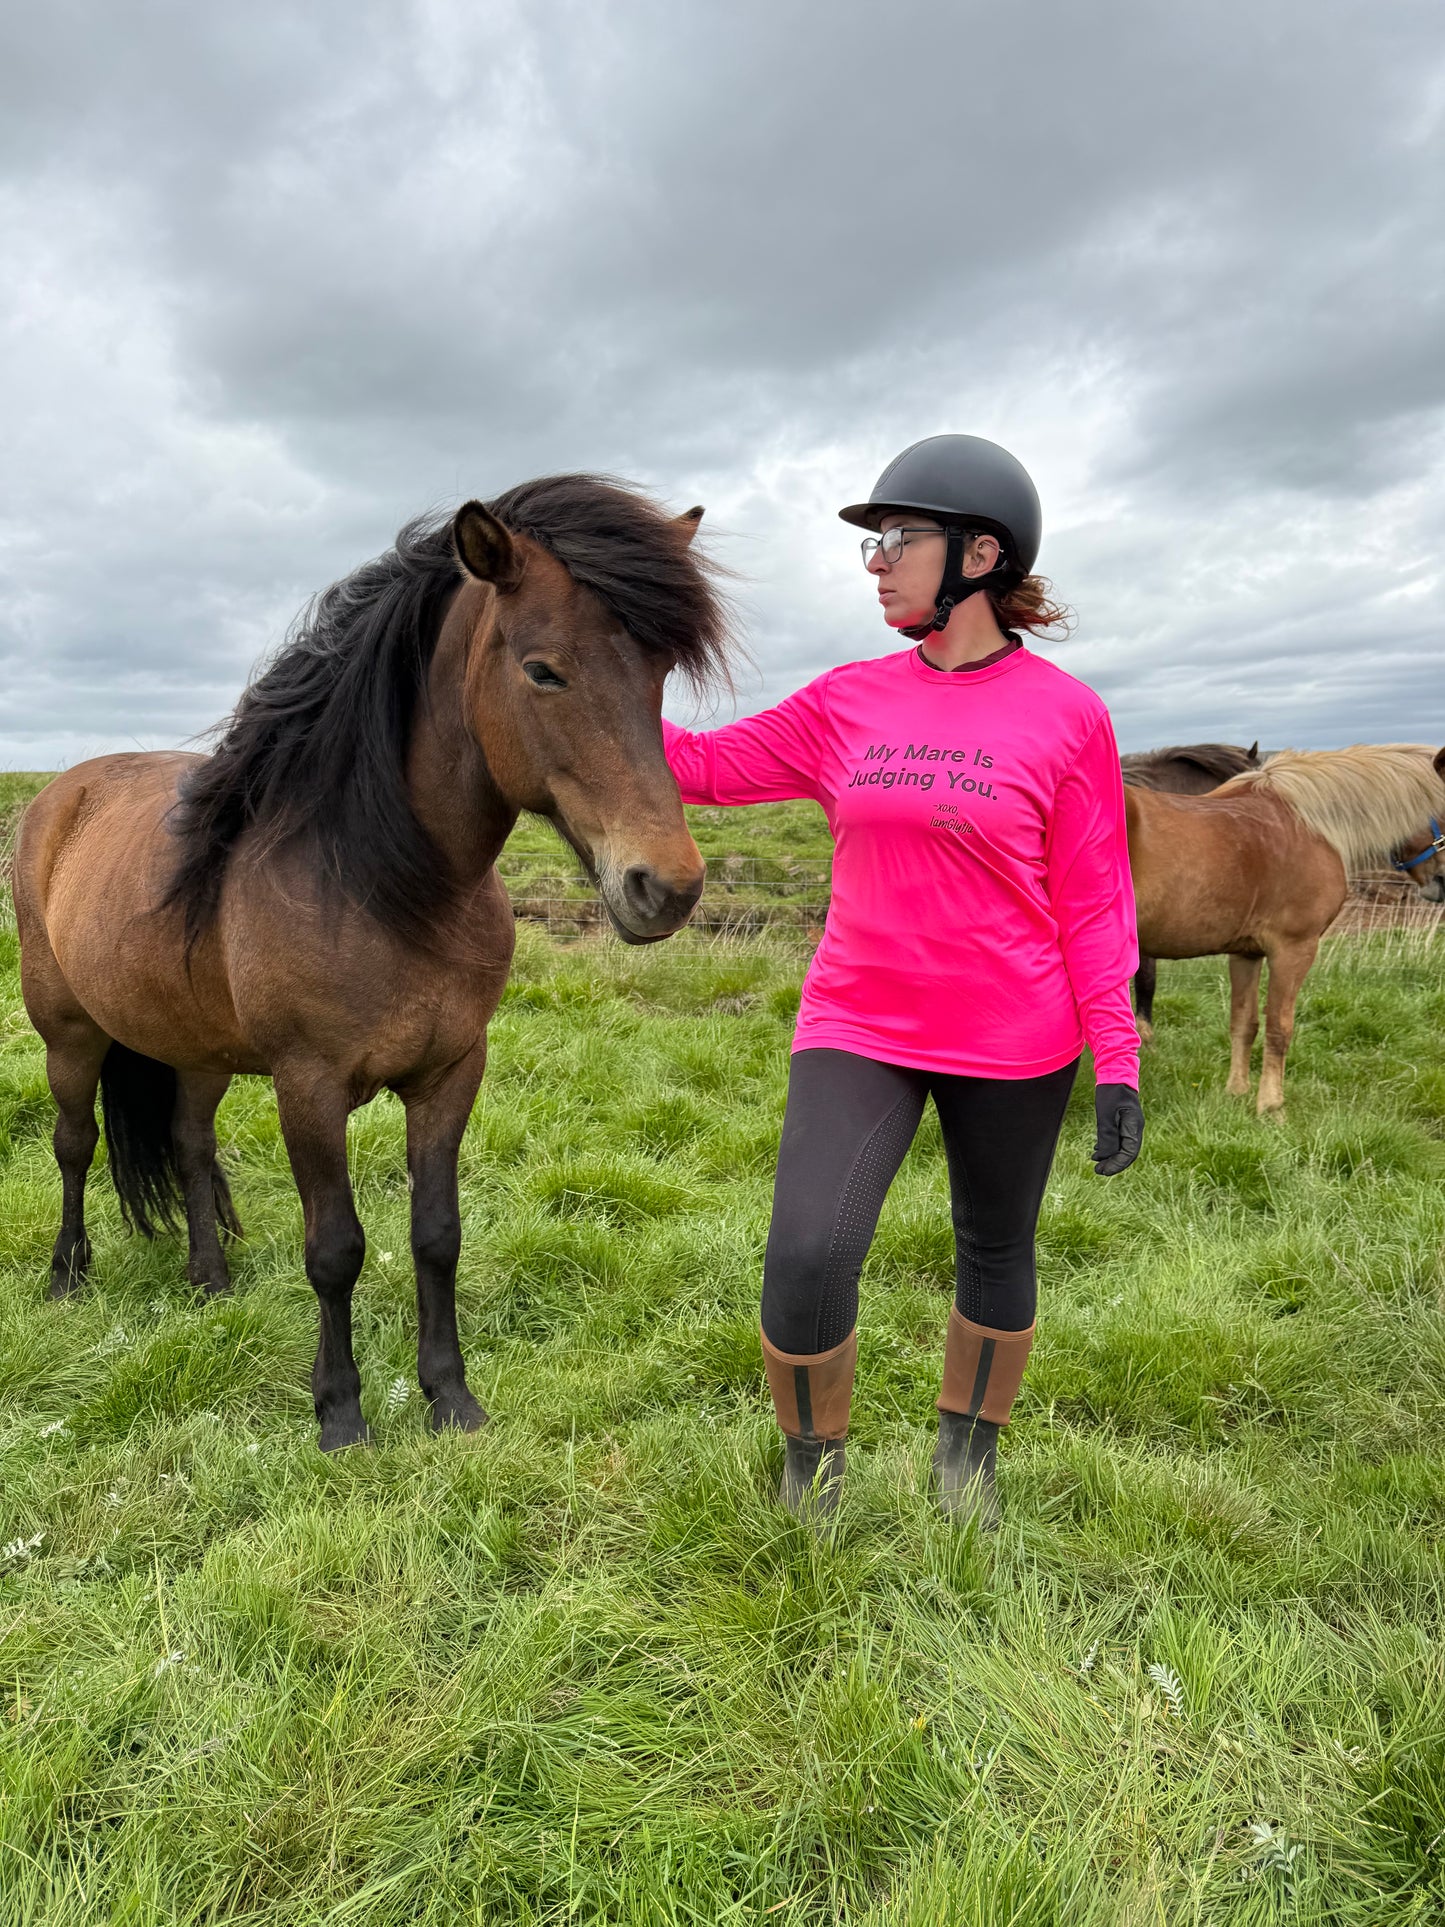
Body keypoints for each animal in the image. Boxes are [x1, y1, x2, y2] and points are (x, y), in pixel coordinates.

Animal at [12, 476, 727, 1449]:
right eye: (542, 670)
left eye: (655, 677)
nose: (668, 886)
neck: (382, 886)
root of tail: (61, 793)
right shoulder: (308, 1086)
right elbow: (335, 1246)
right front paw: (340, 1413)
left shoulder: (450, 1074)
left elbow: (437, 1234)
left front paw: (450, 1397)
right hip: (69, 1034)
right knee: (75, 1145)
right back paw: (67, 1276)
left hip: (196, 1050)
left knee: (190, 1142)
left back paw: (210, 1277)